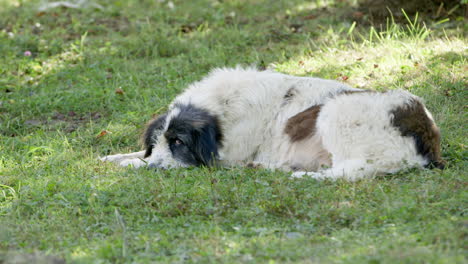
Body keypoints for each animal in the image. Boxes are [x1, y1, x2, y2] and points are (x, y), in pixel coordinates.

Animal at [100, 67, 444, 180]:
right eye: (156, 142)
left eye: (178, 143)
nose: (156, 168)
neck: (223, 110)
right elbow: (132, 153)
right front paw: (112, 157)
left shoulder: (222, 158)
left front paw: (133, 165)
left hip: (333, 111)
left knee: (350, 171)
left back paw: (301, 176)